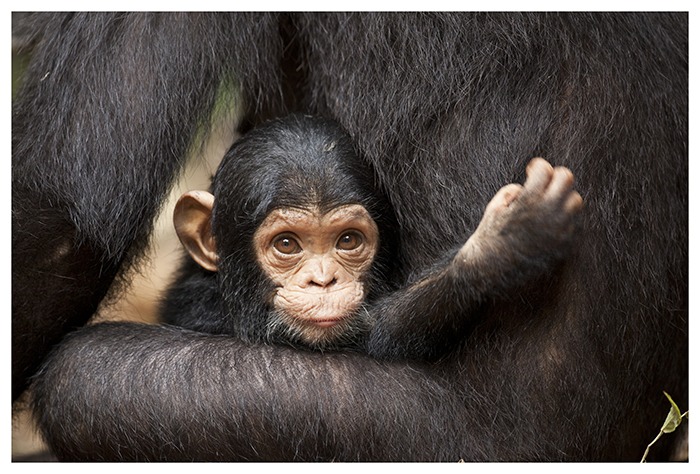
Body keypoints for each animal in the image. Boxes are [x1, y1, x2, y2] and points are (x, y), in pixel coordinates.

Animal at [161, 115, 584, 360]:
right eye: (286, 244)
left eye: (348, 240)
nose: (323, 280)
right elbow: (376, 335)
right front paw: (506, 242)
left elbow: (377, 326)